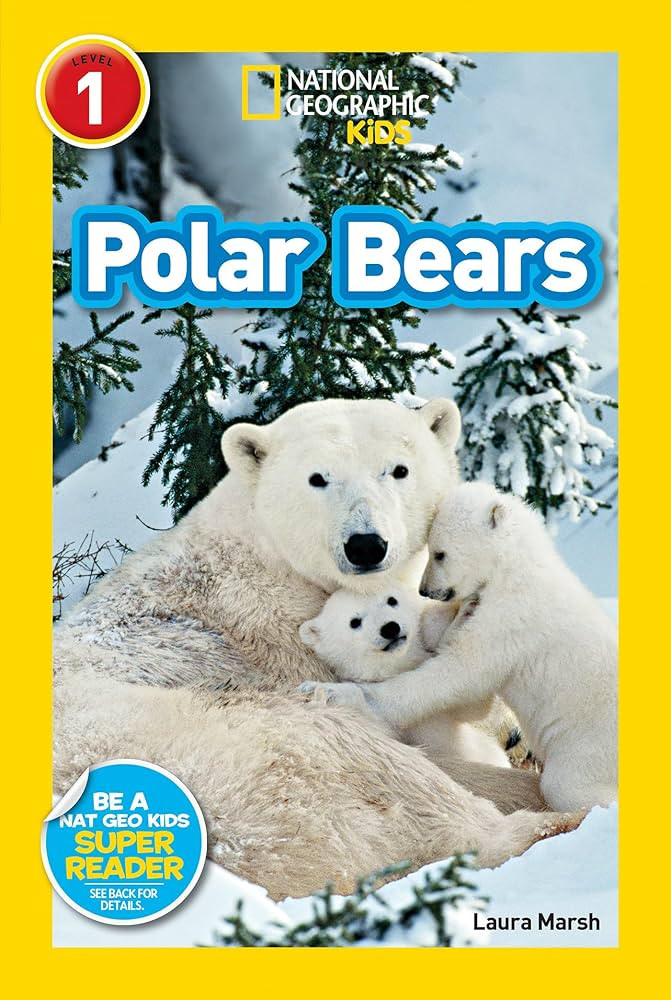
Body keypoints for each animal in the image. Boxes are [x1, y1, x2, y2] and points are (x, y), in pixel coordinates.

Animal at [298, 586, 511, 768]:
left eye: (392, 600)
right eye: (355, 622)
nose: (390, 628)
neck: (397, 666)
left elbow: (473, 707)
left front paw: (465, 612)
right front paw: (322, 691)